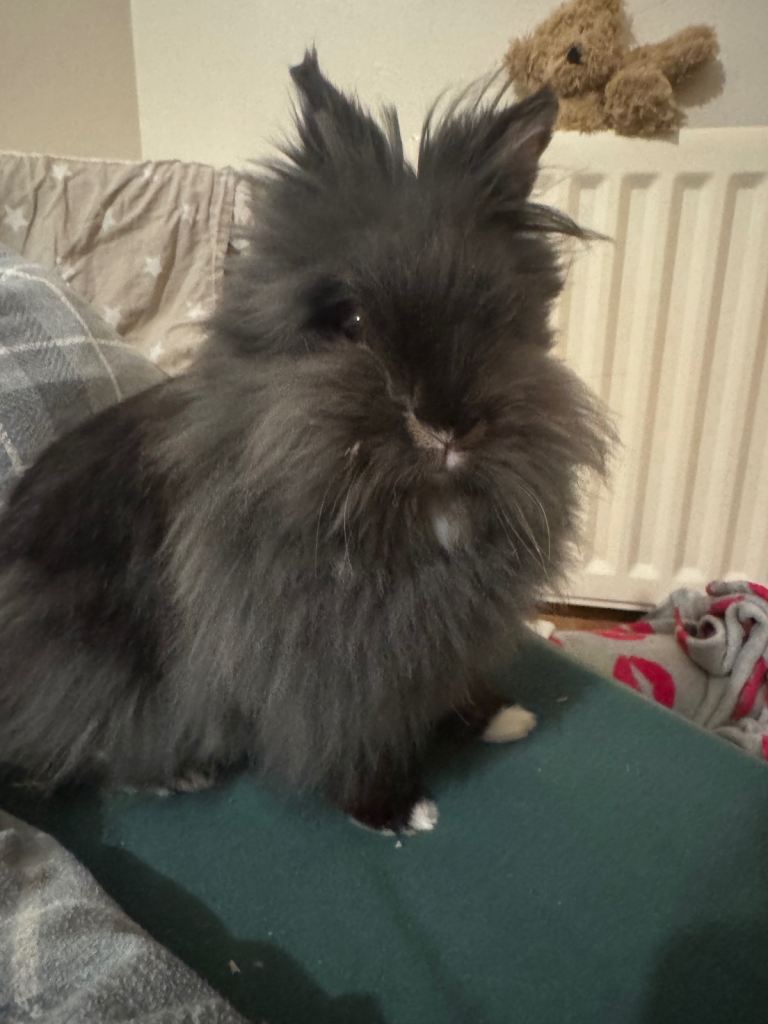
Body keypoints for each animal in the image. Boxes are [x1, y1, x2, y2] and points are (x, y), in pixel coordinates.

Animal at [0, 50, 611, 834]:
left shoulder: (450, 631)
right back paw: (180, 773)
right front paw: (392, 807)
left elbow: (454, 679)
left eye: (499, 317)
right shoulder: (320, 656)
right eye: (349, 321)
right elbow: (341, 728)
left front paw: (498, 717)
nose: (444, 424)